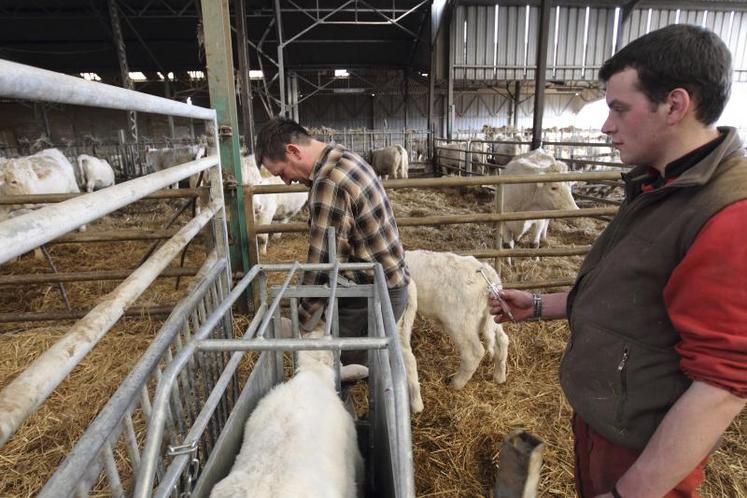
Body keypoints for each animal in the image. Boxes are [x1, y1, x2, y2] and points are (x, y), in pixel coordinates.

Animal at [398, 251, 508, 414]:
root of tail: (487, 272)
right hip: (491, 317)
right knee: (502, 340)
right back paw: (499, 376)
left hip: (459, 323)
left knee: (474, 353)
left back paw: (455, 384)